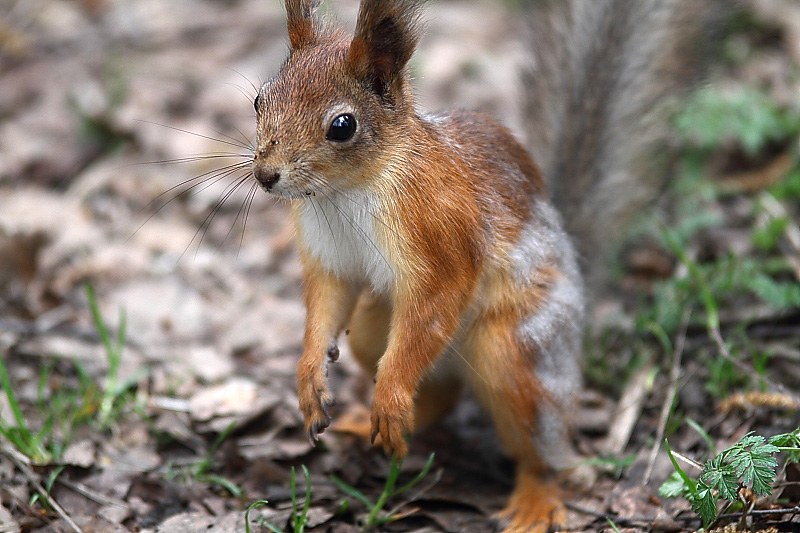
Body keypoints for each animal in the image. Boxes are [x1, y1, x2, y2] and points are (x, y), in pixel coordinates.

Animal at [250, 2, 712, 528]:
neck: (347, 189)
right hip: (372, 330)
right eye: (260, 101)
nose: (266, 175)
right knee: (439, 393)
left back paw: (534, 496)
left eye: (342, 126)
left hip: (514, 350)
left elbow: (438, 303)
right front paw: (309, 377)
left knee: (542, 449)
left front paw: (389, 394)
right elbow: (325, 304)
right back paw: (372, 420)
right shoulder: (329, 257)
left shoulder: (442, 235)